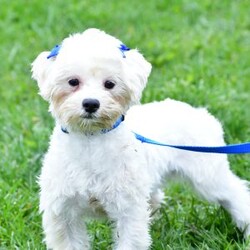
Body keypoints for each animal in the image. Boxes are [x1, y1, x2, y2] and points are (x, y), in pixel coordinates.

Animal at [31, 28, 250, 249]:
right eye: (73, 82)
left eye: (110, 84)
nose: (91, 104)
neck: (90, 140)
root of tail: (202, 114)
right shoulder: (63, 212)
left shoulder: (128, 210)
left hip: (208, 176)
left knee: (237, 193)